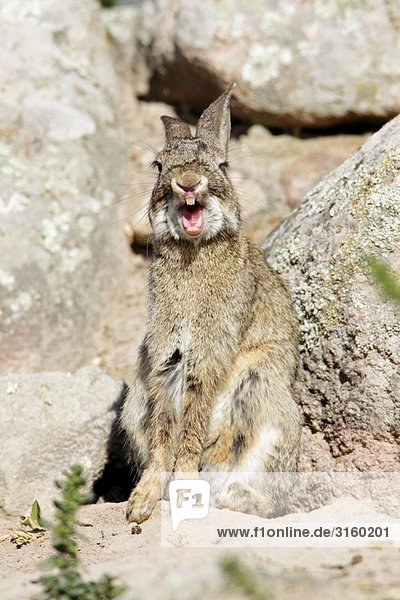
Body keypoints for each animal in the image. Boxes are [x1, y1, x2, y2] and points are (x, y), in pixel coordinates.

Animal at [120, 86, 302, 528]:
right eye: (158, 166)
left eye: (223, 165)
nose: (187, 183)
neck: (194, 251)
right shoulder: (166, 353)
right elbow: (166, 427)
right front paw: (142, 502)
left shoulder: (210, 347)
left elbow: (193, 419)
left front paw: (183, 484)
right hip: (133, 405)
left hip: (267, 405)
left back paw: (234, 499)